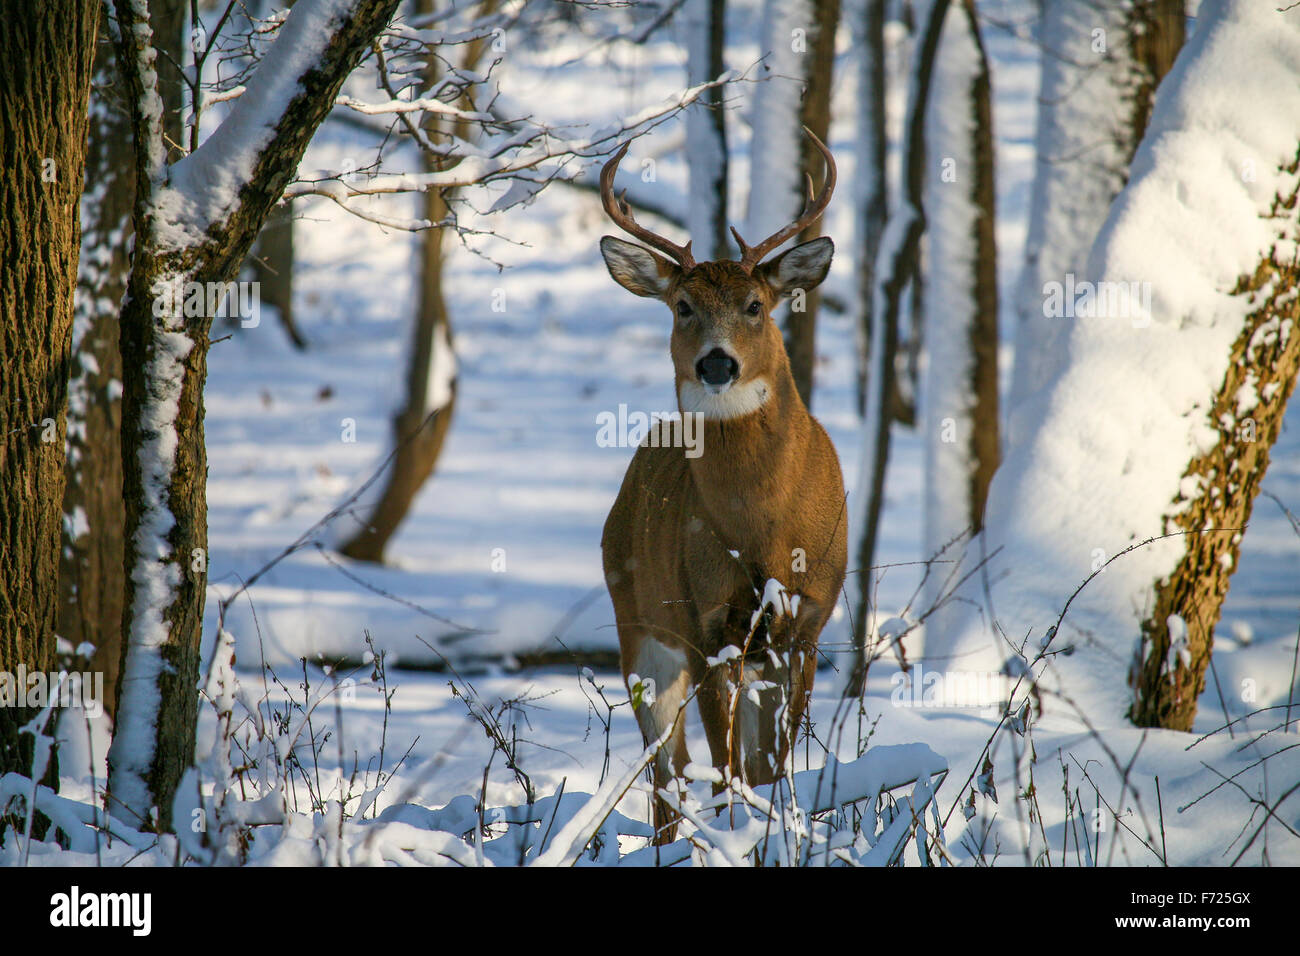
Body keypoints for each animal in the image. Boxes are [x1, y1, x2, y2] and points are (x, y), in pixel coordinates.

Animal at [595, 130, 847, 842]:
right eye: (682, 307)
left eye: (755, 306)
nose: (716, 363)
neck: (764, 525)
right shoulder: (706, 626)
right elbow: (726, 767)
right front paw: (740, 834)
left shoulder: (807, 623)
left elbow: (774, 766)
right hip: (638, 628)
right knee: (667, 769)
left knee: (699, 764)